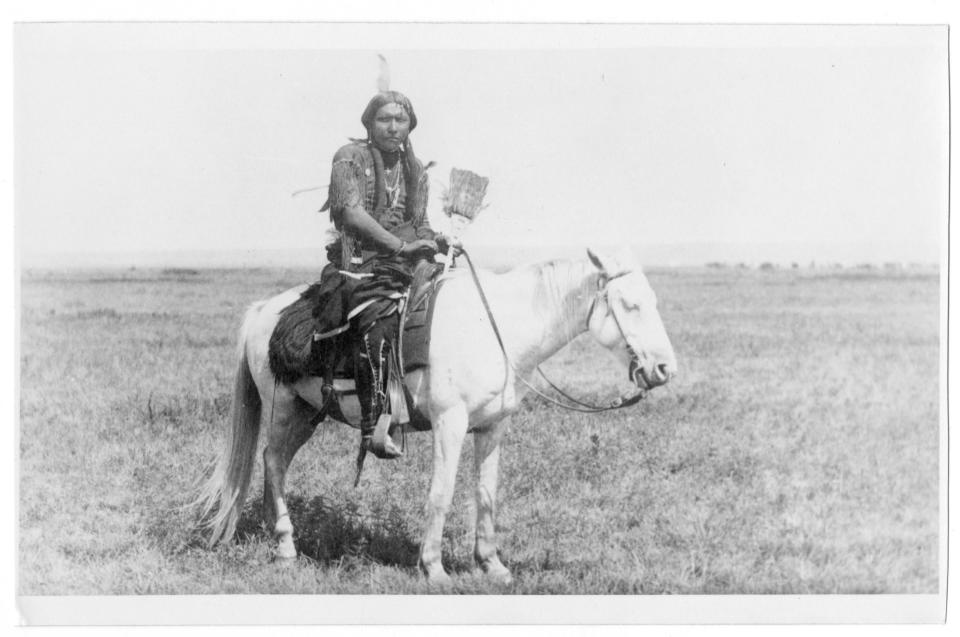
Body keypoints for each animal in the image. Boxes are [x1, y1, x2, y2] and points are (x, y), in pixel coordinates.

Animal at [195, 246, 676, 584]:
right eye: (629, 305)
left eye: (654, 301)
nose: (664, 369)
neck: (497, 329)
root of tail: (263, 311)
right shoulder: (451, 422)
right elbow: (441, 494)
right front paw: (434, 567)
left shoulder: (492, 426)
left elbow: (486, 494)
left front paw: (492, 565)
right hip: (283, 409)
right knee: (274, 462)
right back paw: (285, 547)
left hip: (309, 414)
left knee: (272, 461)